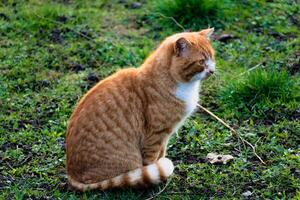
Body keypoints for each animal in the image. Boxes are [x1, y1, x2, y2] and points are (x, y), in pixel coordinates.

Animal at [65, 28, 216, 191]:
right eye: (201, 62)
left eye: (212, 57)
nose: (212, 71)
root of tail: (72, 175)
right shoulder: (155, 135)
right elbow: (151, 160)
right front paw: (156, 174)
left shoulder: (165, 136)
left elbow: (162, 153)